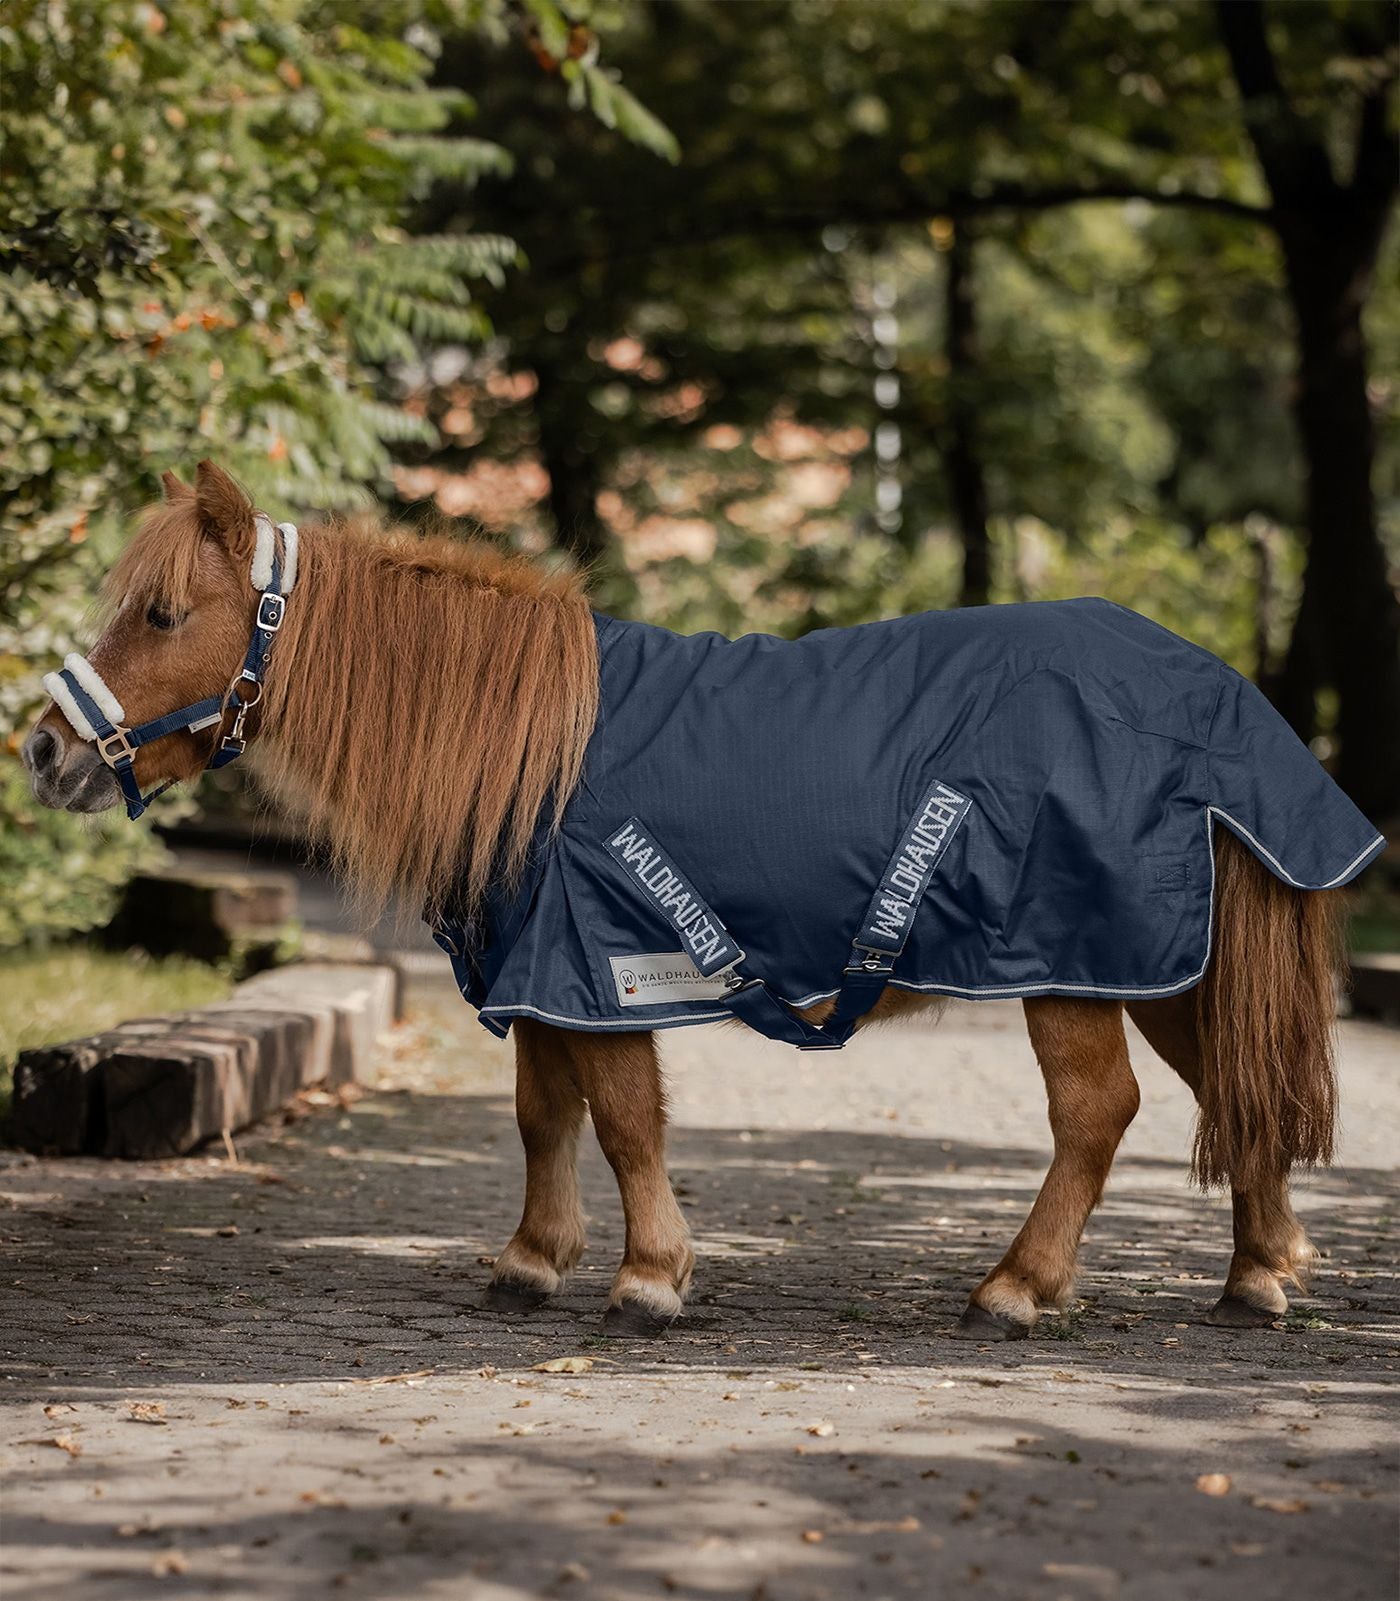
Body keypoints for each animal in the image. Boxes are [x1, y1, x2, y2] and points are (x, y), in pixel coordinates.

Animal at [22, 460, 1374, 1341]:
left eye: (162, 612)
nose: (43, 749)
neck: (534, 749)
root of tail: (1212, 694)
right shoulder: (545, 972)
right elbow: (543, 1113)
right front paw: (531, 1259)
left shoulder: (606, 967)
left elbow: (624, 1118)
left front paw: (649, 1276)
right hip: (1153, 963)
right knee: (1232, 1085)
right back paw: (1257, 1273)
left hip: (1064, 964)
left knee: (1098, 1112)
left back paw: (1018, 1285)